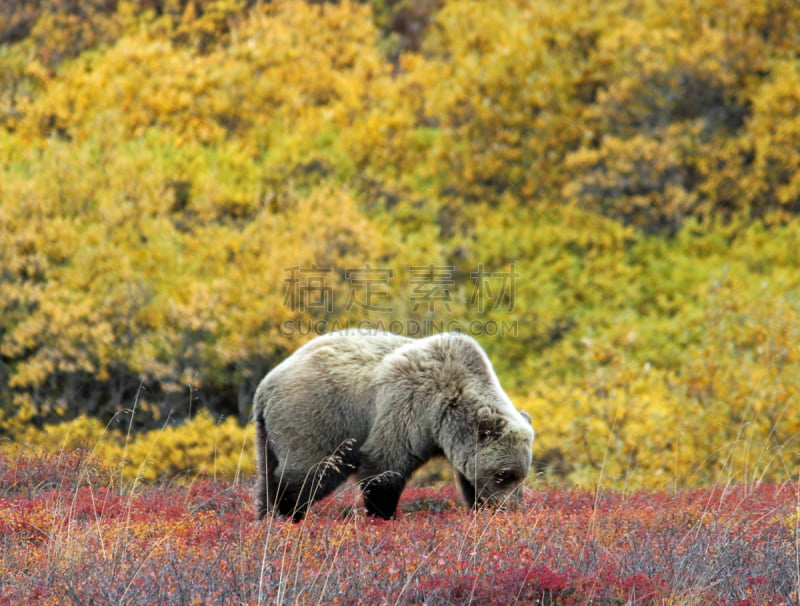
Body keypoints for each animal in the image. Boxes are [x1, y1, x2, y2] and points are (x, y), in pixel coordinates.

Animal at [253, 332, 536, 524]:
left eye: (521, 475)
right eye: (503, 474)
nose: (511, 508)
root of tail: (265, 387)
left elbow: (469, 479)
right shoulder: (407, 407)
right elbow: (383, 468)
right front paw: (383, 515)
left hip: (267, 436)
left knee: (268, 475)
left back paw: (266, 515)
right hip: (317, 418)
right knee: (309, 474)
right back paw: (288, 514)